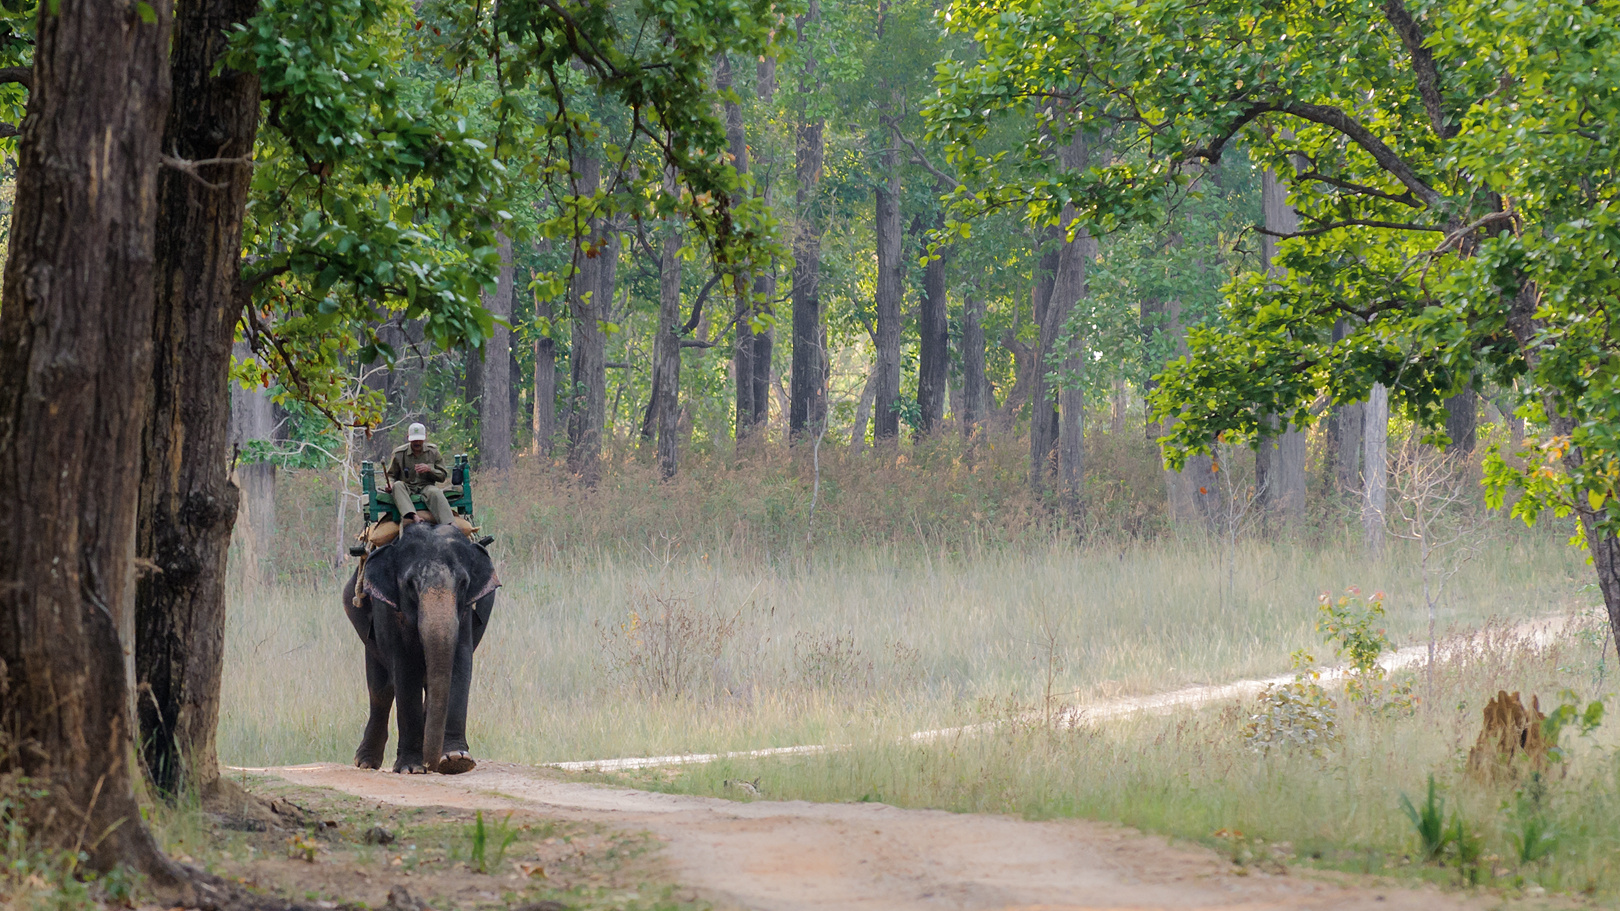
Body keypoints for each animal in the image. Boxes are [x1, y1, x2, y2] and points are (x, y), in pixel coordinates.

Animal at [338, 521, 495, 768]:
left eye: (463, 584)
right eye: (410, 584)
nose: (432, 763)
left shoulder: (466, 612)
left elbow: (460, 663)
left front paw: (456, 760)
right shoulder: (388, 610)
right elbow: (405, 668)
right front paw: (411, 767)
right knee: (380, 690)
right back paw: (365, 762)